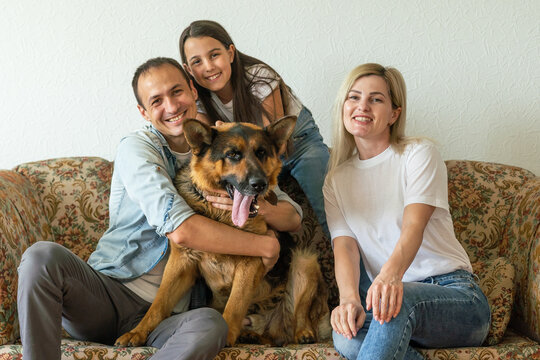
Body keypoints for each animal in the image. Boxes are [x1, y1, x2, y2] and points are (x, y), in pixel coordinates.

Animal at [116, 115, 332, 346]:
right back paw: (252, 335)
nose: (260, 184)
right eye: (233, 154)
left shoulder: (251, 262)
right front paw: (138, 332)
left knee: (299, 316)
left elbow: (235, 303)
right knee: (269, 336)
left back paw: (303, 333)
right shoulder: (181, 261)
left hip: (304, 261)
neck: (221, 216)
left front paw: (226, 335)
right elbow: (159, 303)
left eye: (261, 152)